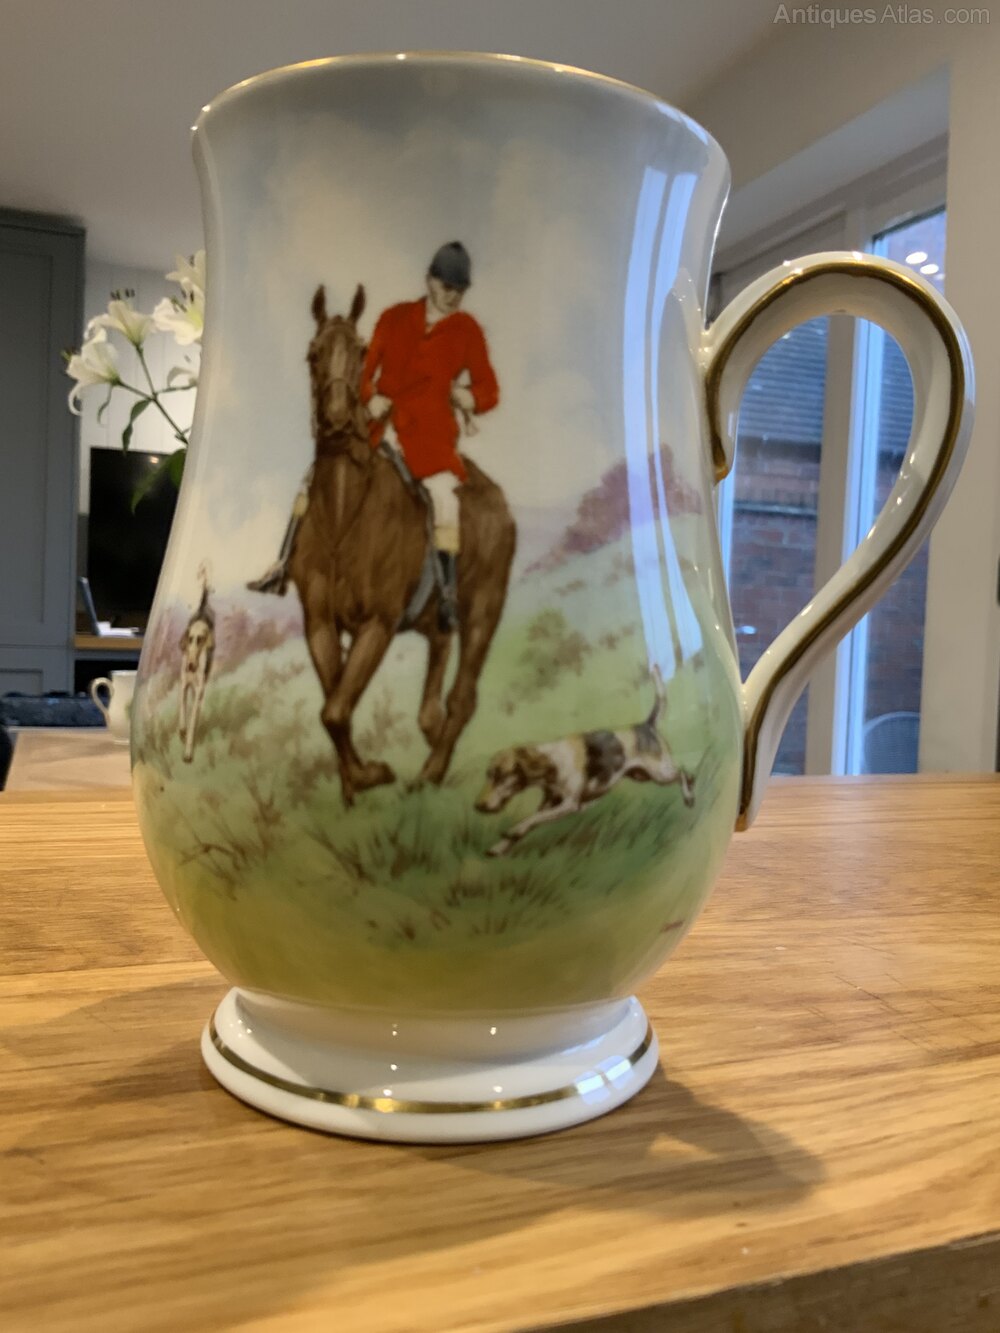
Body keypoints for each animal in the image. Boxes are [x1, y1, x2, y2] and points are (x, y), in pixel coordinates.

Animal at [288, 283, 517, 804]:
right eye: (313, 354)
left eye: (360, 352)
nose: (336, 421)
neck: (343, 516)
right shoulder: (320, 623)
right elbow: (334, 706)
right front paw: (356, 779)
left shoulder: (379, 623)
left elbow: (335, 709)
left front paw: (369, 776)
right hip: (434, 616)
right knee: (440, 660)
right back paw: (431, 734)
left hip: (485, 608)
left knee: (463, 696)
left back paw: (432, 770)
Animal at [476, 667, 695, 857]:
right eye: (488, 775)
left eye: (500, 776)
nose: (478, 806)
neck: (551, 762)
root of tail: (646, 725)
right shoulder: (549, 803)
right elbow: (530, 822)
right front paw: (499, 848)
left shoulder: (569, 805)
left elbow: (532, 819)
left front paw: (513, 830)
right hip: (642, 775)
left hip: (660, 774)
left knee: (685, 774)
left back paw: (689, 798)